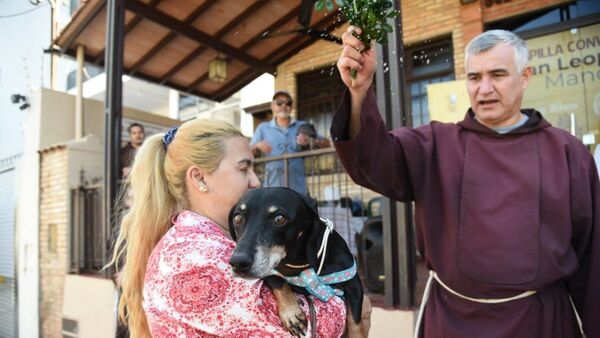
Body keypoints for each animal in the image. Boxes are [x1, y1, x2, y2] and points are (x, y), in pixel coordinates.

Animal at [229, 187, 366, 338]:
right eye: (237, 218)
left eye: (279, 219)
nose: (238, 263)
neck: (298, 262)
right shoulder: (268, 271)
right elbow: (277, 280)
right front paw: (291, 314)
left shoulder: (354, 284)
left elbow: (355, 323)